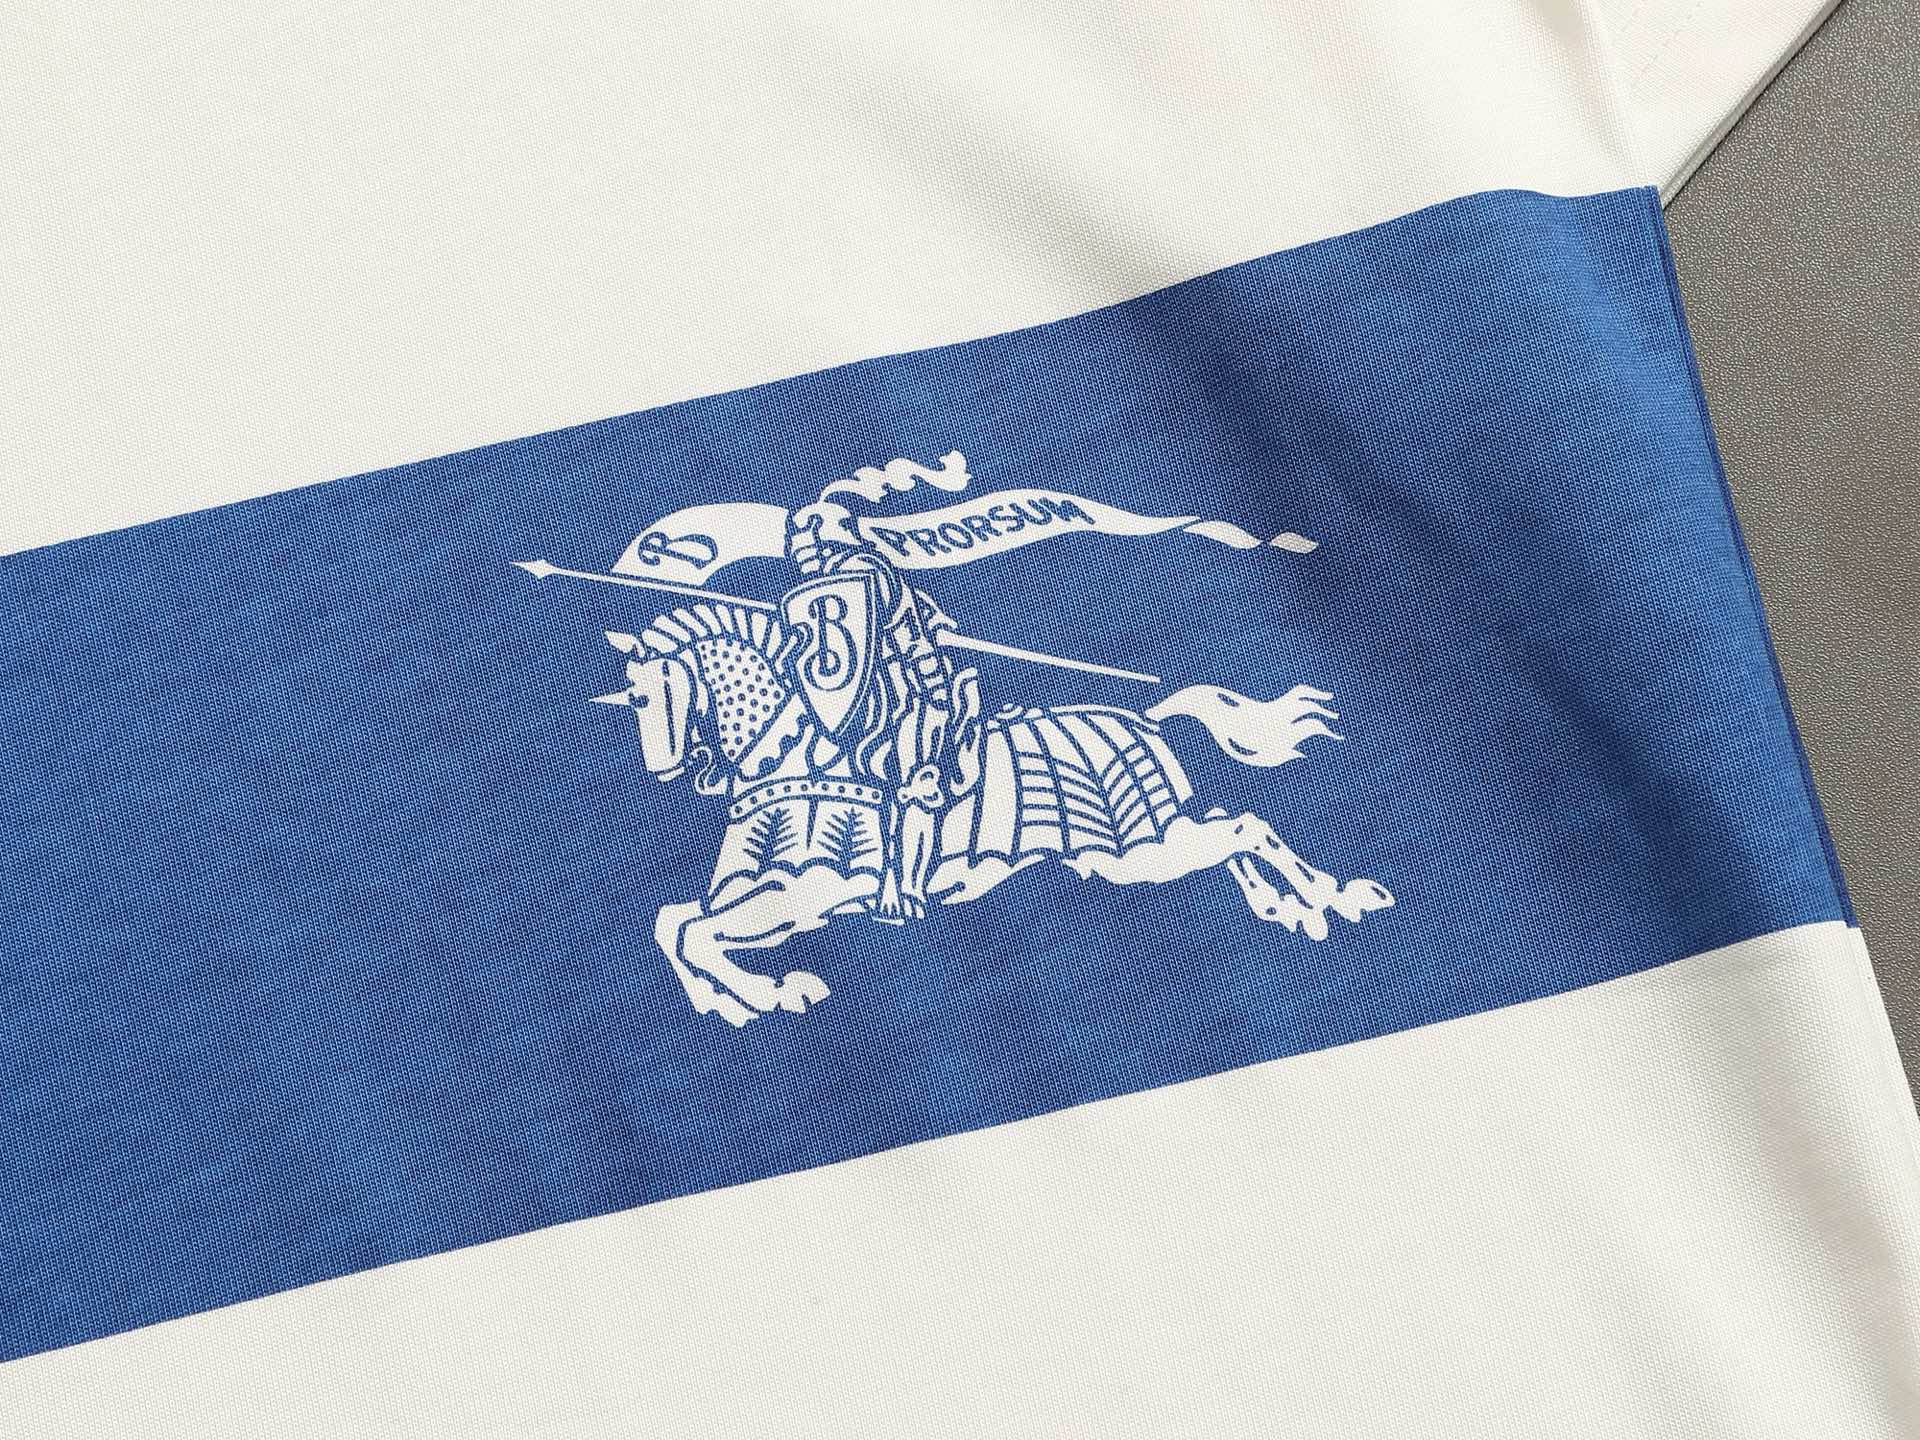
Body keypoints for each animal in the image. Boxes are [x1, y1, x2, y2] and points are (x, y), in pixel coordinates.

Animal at [597, 602, 1392, 1027]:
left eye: (644, 696)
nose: (667, 768)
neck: (795, 755)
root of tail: (1147, 718)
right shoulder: (760, 893)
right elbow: (675, 925)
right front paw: (731, 1004)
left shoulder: (808, 892)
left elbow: (696, 933)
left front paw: (771, 991)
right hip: (1134, 850)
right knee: (1230, 827)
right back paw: (1286, 906)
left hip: (1136, 850)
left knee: (1245, 827)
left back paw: (1329, 898)